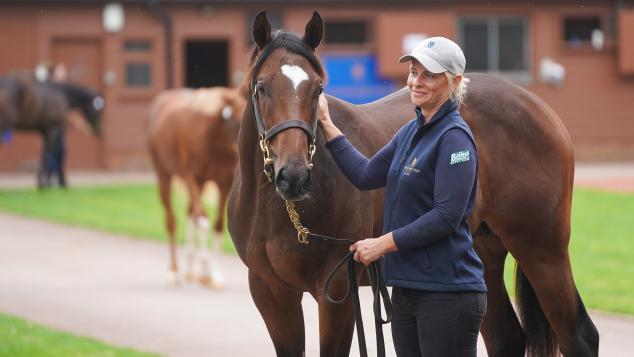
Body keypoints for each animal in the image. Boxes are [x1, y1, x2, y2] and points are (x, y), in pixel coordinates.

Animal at [146, 85, 244, 286]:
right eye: (234, 120)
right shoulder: (192, 178)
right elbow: (203, 221)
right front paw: (205, 268)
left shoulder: (224, 183)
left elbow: (217, 224)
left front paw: (212, 273)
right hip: (164, 176)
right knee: (173, 221)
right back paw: (174, 271)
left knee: (190, 212)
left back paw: (191, 269)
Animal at [227, 11, 596, 356]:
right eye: (262, 87)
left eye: (318, 89)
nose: (294, 176)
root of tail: (541, 109)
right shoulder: (270, 292)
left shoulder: (337, 290)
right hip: (483, 255)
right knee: (507, 337)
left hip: (542, 251)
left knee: (579, 336)